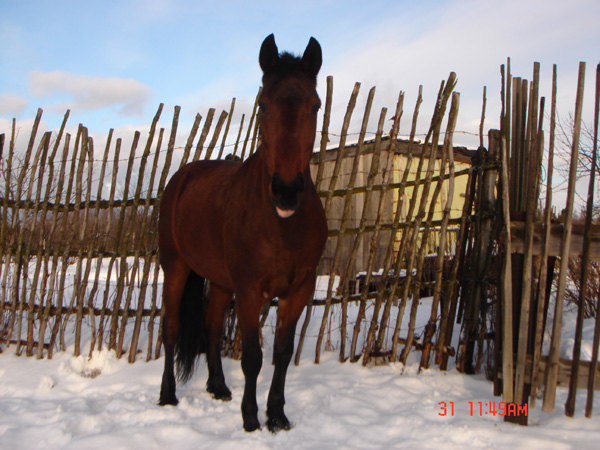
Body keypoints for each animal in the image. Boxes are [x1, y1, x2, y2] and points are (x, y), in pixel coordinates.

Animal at [158, 32, 328, 432]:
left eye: (315, 105)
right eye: (263, 105)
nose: (286, 190)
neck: (281, 226)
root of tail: (182, 177)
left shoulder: (299, 289)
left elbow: (282, 352)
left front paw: (277, 416)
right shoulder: (250, 289)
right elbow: (252, 356)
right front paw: (251, 418)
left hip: (221, 282)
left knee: (211, 325)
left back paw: (218, 387)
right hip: (175, 267)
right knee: (170, 327)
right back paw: (168, 395)